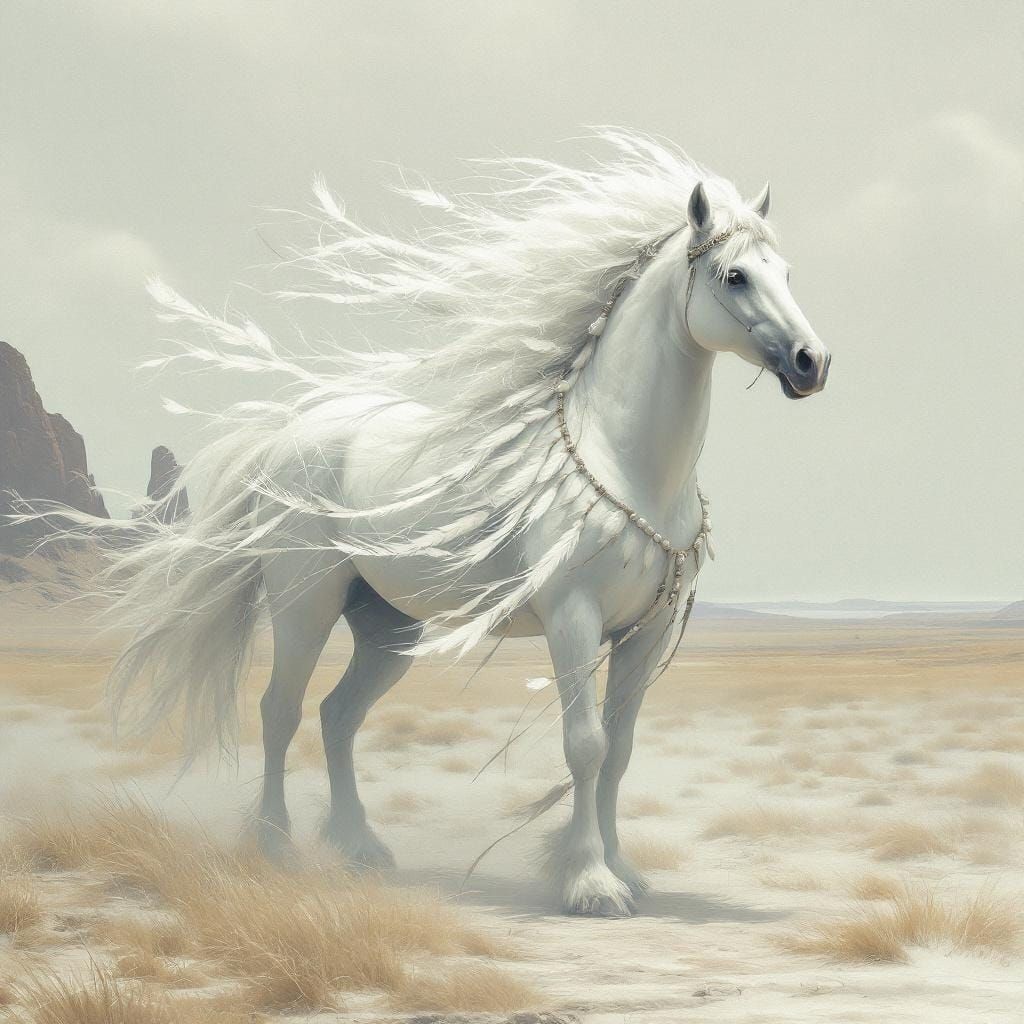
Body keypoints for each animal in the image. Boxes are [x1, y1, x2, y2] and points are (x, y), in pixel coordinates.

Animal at [71, 131, 830, 916]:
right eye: (735, 276)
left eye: (786, 272)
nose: (813, 363)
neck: (621, 461)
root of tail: (290, 436)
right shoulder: (573, 619)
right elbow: (585, 745)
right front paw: (589, 883)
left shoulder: (642, 636)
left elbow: (620, 751)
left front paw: (624, 871)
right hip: (303, 606)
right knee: (281, 710)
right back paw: (275, 847)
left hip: (387, 628)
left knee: (338, 716)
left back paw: (360, 848)